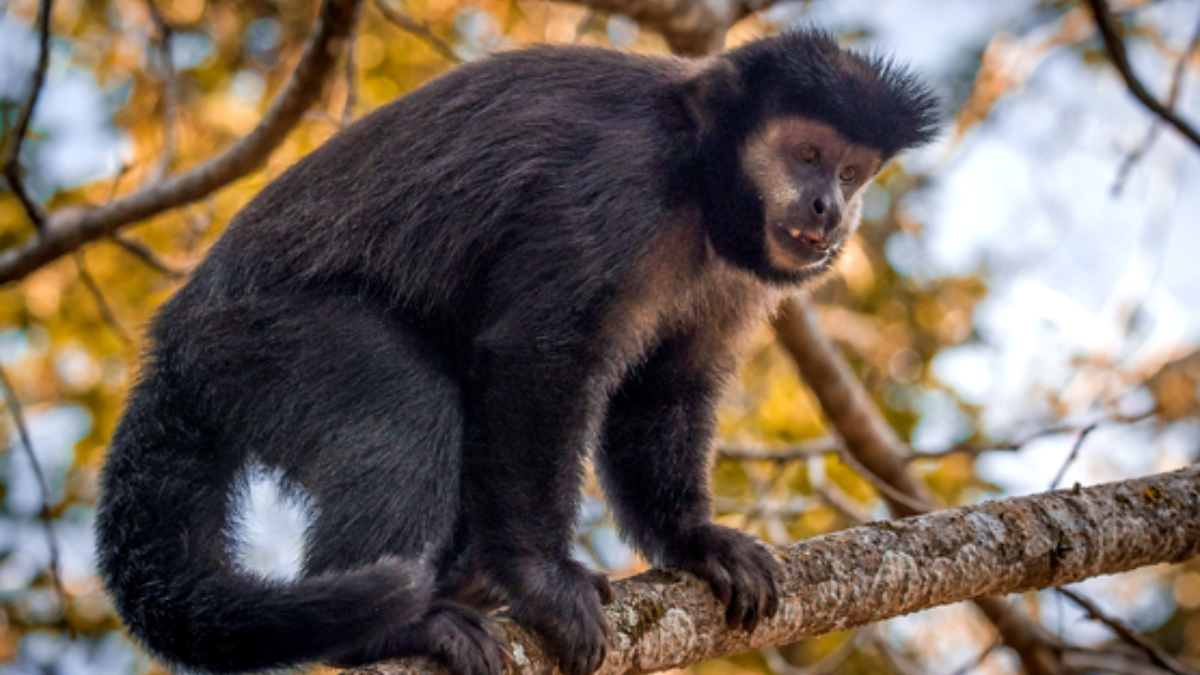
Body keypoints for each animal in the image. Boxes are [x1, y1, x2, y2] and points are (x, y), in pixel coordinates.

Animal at [94, 29, 938, 675]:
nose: (830, 207)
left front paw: (696, 541)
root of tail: (171, 343)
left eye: (852, 170)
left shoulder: (736, 272)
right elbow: (540, 356)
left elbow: (667, 387)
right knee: (404, 409)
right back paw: (393, 630)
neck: (697, 180)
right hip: (252, 338)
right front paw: (544, 581)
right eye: (807, 152)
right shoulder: (619, 179)